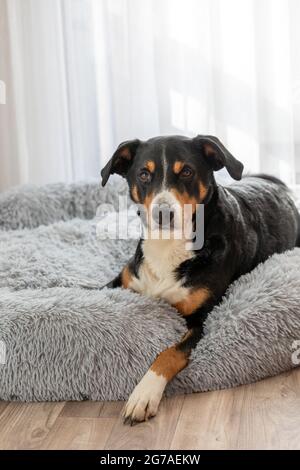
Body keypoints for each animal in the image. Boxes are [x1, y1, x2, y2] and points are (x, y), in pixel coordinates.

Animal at [100, 134, 300, 424]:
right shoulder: (124, 281)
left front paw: (144, 394)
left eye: (187, 171)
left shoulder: (201, 319)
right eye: (144, 174)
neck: (168, 245)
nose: (162, 213)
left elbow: (169, 353)